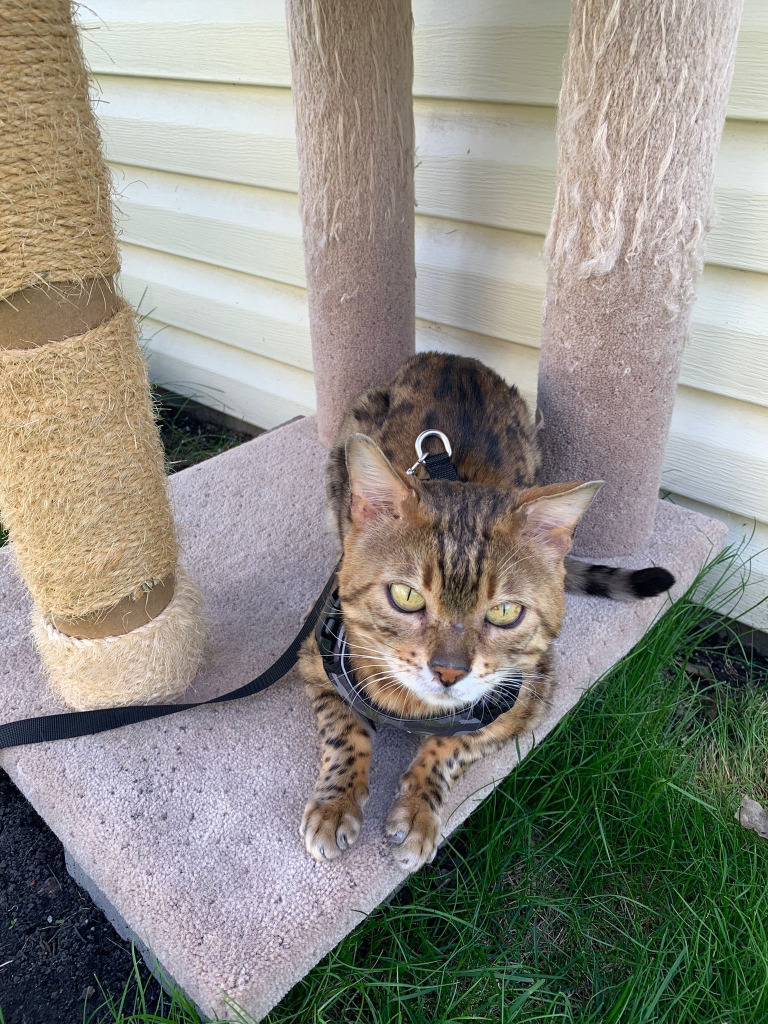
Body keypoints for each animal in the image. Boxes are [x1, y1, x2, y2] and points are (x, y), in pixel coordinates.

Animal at [299, 354, 671, 872]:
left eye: (506, 612)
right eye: (406, 596)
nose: (449, 672)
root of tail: (455, 359)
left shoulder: (529, 698)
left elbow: (452, 746)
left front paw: (418, 810)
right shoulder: (317, 659)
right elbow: (345, 732)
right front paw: (336, 804)